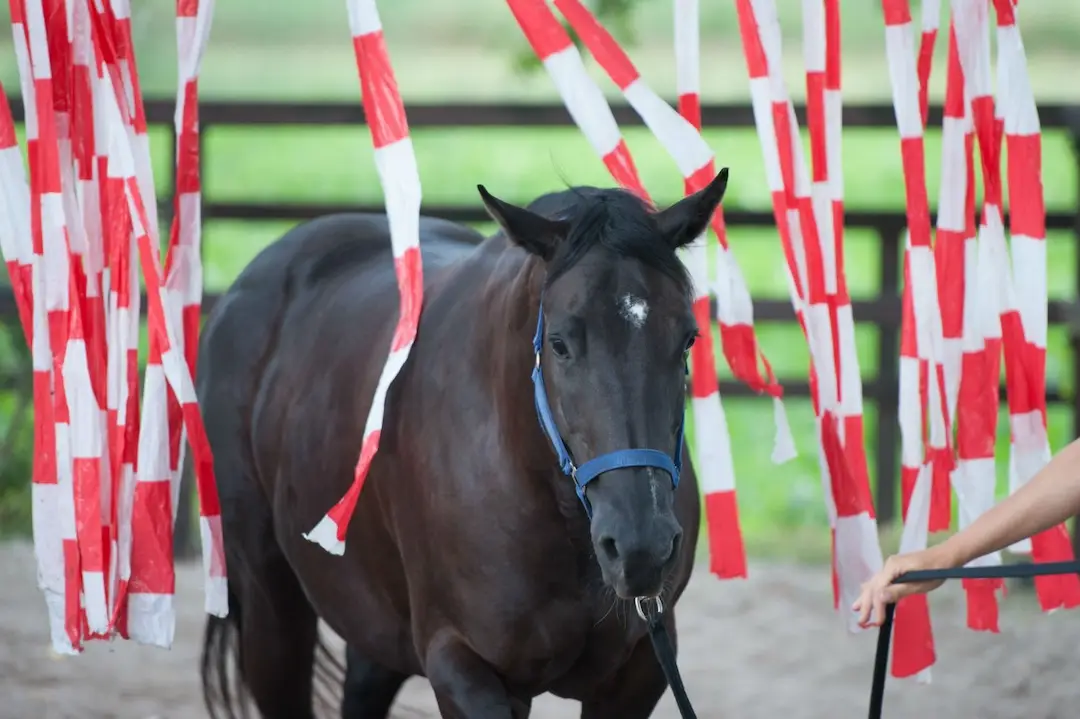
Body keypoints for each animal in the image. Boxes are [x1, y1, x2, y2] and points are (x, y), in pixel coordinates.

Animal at [198, 167, 730, 719]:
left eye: (687, 338)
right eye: (560, 343)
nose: (641, 547)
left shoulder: (639, 670)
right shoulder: (461, 664)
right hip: (270, 604)